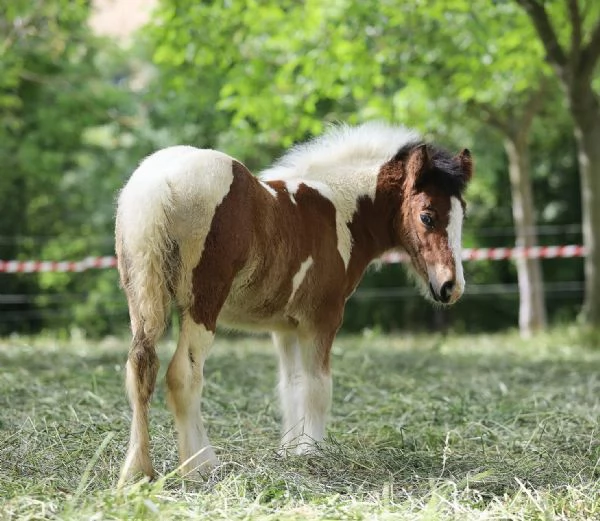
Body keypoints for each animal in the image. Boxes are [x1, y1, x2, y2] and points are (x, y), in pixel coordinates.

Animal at [115, 122, 474, 480]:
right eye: (427, 216)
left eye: (462, 216)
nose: (451, 287)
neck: (339, 210)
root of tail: (159, 183)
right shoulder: (322, 319)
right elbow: (318, 387)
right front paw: (310, 451)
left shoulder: (285, 327)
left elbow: (291, 386)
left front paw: (288, 451)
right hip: (202, 305)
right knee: (184, 375)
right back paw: (201, 465)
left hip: (140, 298)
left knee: (140, 368)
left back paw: (136, 470)